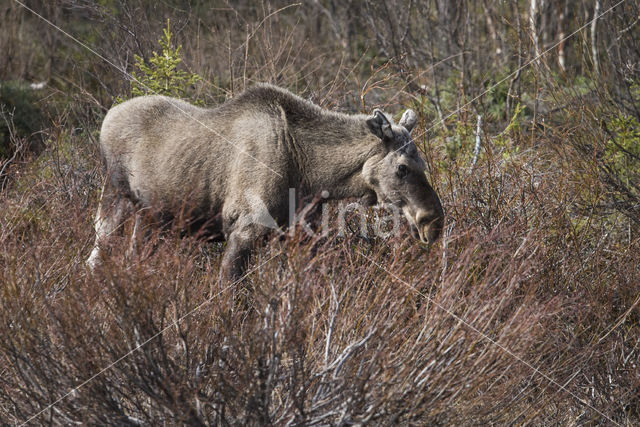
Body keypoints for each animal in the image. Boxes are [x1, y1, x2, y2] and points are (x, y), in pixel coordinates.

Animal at [87, 85, 442, 282]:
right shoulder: (243, 229)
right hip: (115, 197)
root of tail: (107, 117)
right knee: (95, 255)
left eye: (423, 164)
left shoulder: (299, 235)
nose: (433, 221)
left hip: (149, 218)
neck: (313, 174)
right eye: (402, 168)